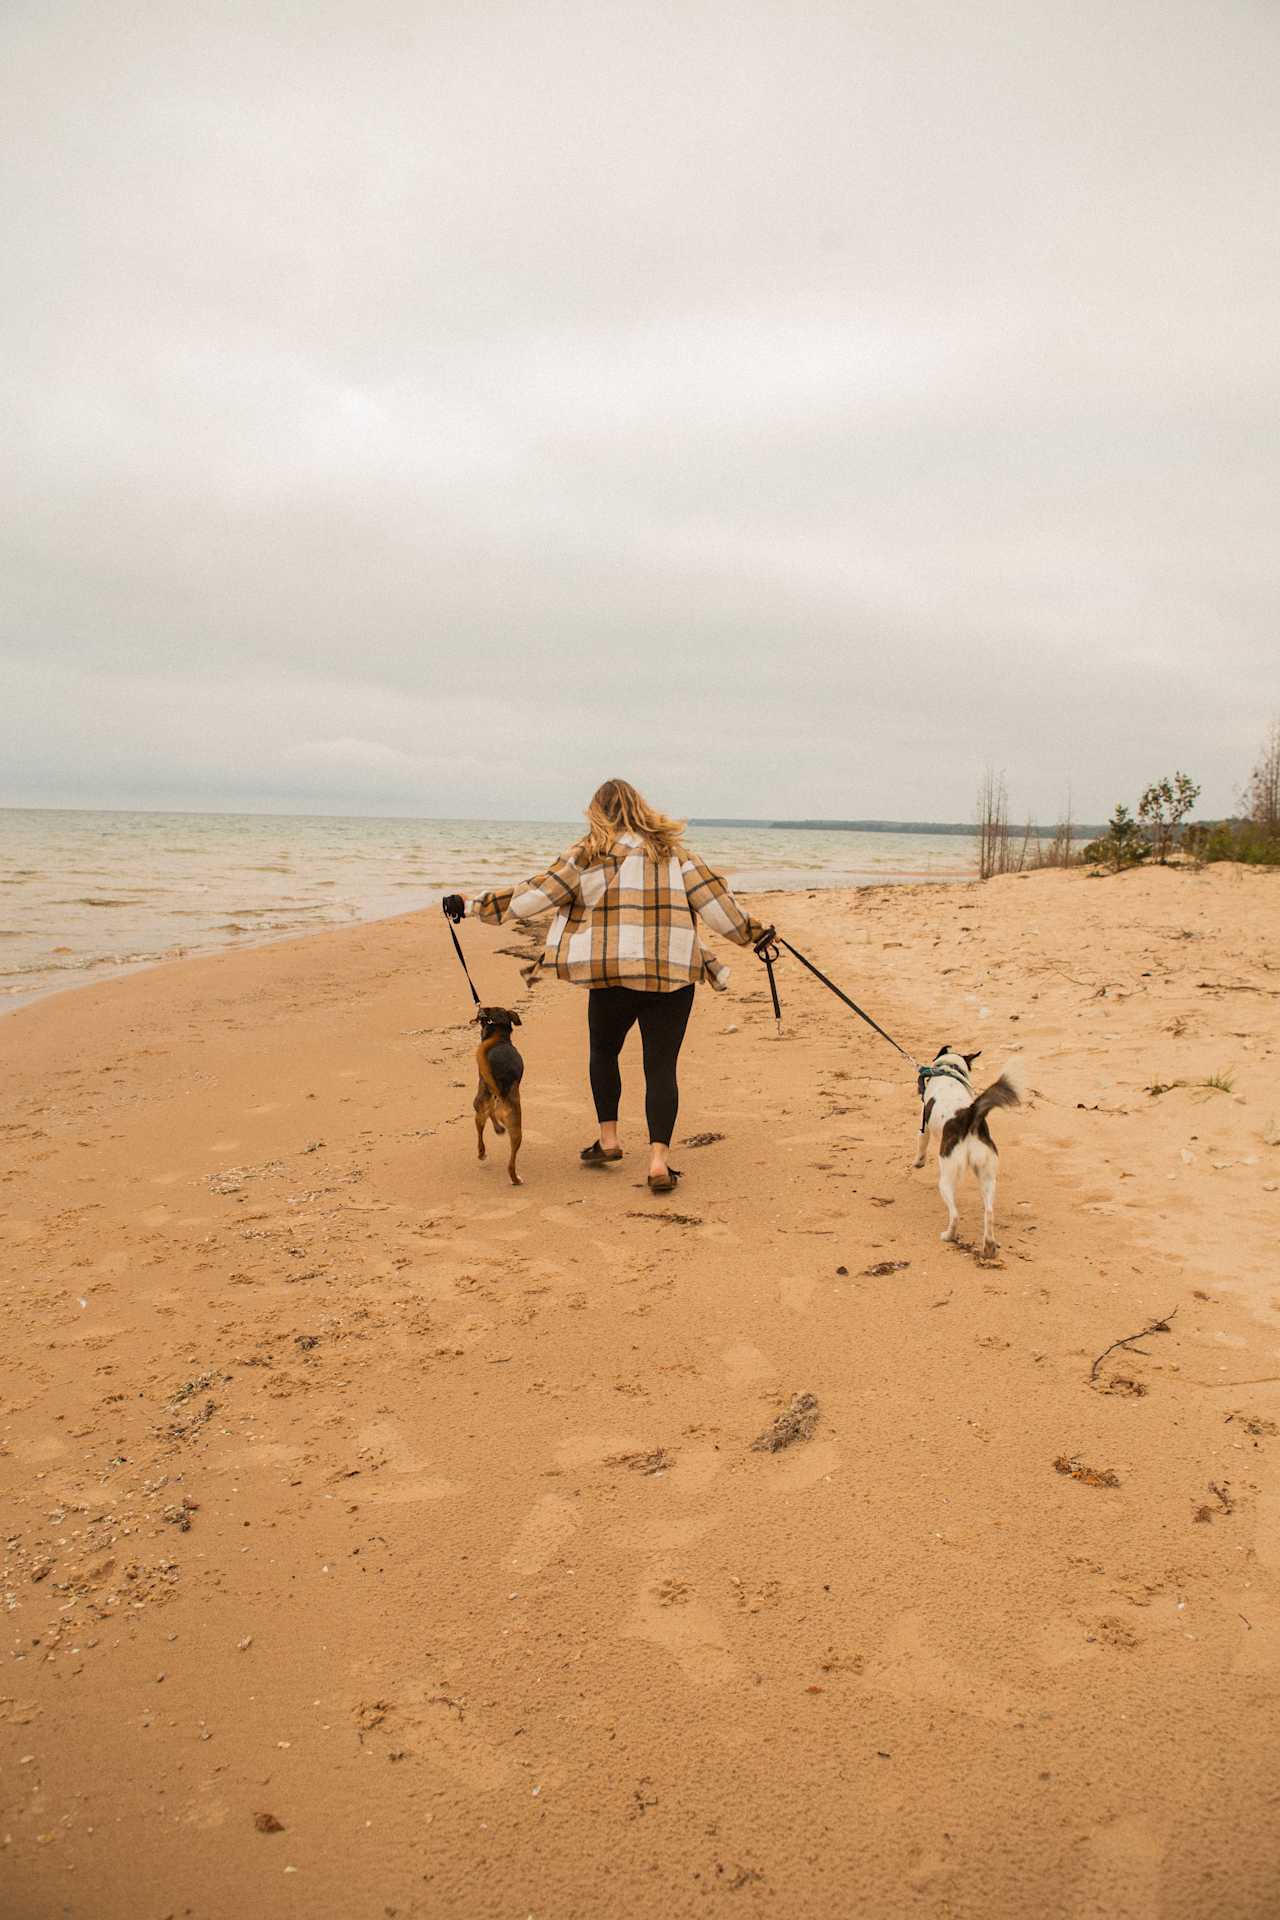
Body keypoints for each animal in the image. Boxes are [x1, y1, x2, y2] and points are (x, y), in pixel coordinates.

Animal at [474, 1013, 521, 1175]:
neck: (500, 1038)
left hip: (480, 1110)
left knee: (482, 1127)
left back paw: (482, 1152)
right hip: (516, 1130)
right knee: (511, 1165)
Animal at [917, 1052, 1028, 1259]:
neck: (949, 1069)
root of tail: (970, 1117)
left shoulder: (923, 1126)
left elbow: (921, 1143)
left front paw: (918, 1163)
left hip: (946, 1177)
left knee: (955, 1214)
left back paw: (948, 1236)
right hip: (988, 1175)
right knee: (989, 1212)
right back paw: (989, 1246)